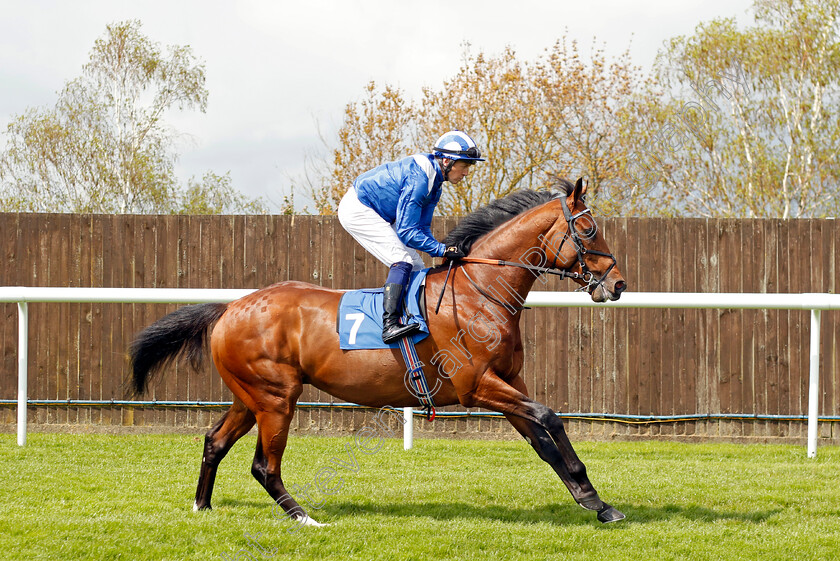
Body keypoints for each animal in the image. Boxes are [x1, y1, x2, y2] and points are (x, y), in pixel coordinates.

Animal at [131, 179, 628, 524]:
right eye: (588, 229)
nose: (618, 283)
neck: (479, 291)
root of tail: (231, 307)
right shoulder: (477, 386)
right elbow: (549, 418)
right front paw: (593, 496)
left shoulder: (507, 381)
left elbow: (542, 441)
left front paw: (595, 501)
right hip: (276, 398)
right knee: (264, 466)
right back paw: (304, 517)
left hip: (250, 395)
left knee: (214, 442)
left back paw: (202, 506)